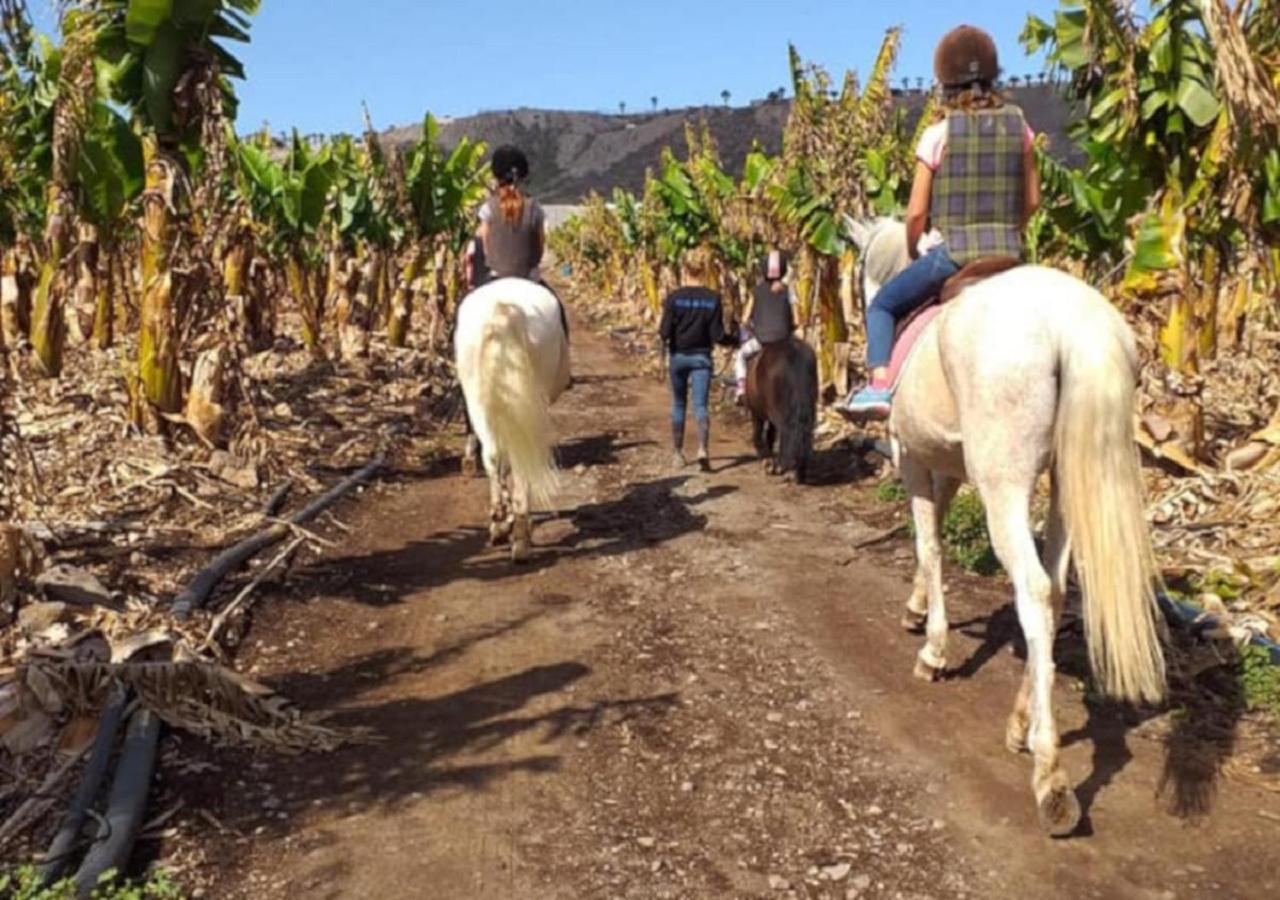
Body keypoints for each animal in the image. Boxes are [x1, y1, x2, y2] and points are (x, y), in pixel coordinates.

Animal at [453, 280, 568, 563]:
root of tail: (503, 310)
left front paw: (503, 521)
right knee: (516, 460)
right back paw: (519, 535)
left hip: (478, 399)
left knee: (494, 455)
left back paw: (504, 526)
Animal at [747, 337, 814, 481]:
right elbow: (770, 434)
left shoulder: (756, 412)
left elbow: (758, 434)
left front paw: (767, 460)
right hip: (809, 407)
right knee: (803, 430)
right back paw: (799, 468)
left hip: (778, 412)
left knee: (786, 430)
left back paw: (785, 467)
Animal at [849, 217, 1172, 839]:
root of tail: (1073, 323)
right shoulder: (947, 465)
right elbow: (934, 536)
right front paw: (917, 610)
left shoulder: (911, 456)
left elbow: (928, 542)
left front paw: (934, 648)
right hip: (1070, 478)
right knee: (1054, 591)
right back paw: (1024, 725)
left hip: (1004, 481)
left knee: (1034, 589)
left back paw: (1050, 777)